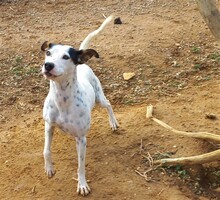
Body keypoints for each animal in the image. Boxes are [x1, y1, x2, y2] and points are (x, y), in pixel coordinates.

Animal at [40, 16, 117, 195]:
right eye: (48, 53)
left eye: (66, 57)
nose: (48, 65)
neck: (62, 99)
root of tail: (84, 63)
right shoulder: (49, 125)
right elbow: (46, 150)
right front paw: (49, 168)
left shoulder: (81, 139)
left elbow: (81, 165)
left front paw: (82, 184)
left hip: (99, 97)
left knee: (109, 104)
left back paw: (113, 123)